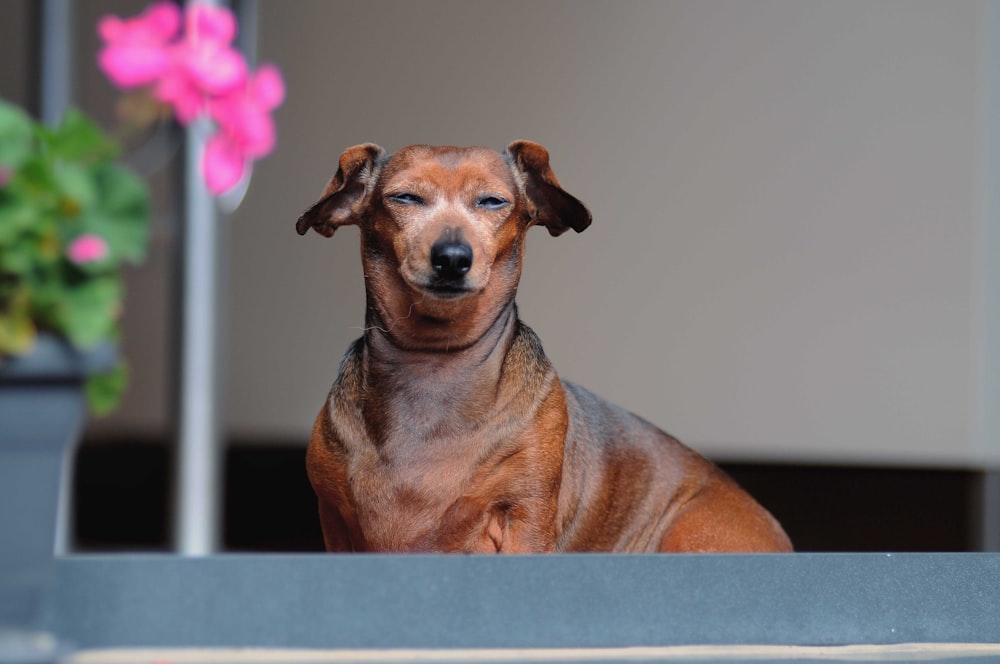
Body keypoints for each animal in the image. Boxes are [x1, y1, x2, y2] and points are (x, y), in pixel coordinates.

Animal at [292, 141, 792, 556]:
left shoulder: (524, 517)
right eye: (405, 198)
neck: (433, 364)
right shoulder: (334, 521)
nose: (452, 258)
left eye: (493, 201)